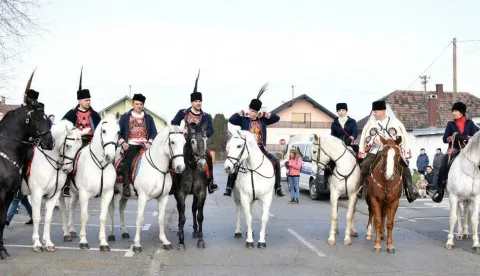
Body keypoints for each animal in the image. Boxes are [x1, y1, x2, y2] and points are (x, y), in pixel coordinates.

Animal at [0, 101, 53, 258]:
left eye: (46, 117)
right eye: (35, 118)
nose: (50, 143)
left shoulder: (9, 194)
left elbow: (1, 220)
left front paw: (2, 250)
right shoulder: (2, 194)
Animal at [20, 119, 89, 251]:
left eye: (79, 147)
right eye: (68, 145)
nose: (68, 169)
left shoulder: (55, 194)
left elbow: (48, 217)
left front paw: (47, 242)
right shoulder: (37, 193)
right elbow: (37, 217)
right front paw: (37, 243)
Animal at [66, 112, 119, 252]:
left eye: (118, 132)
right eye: (104, 131)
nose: (110, 156)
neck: (100, 165)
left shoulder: (107, 194)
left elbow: (103, 217)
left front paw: (104, 243)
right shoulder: (84, 194)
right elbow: (84, 216)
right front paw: (83, 242)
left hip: (76, 194)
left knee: (72, 207)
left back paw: (72, 231)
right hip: (72, 193)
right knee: (69, 209)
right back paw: (68, 232)